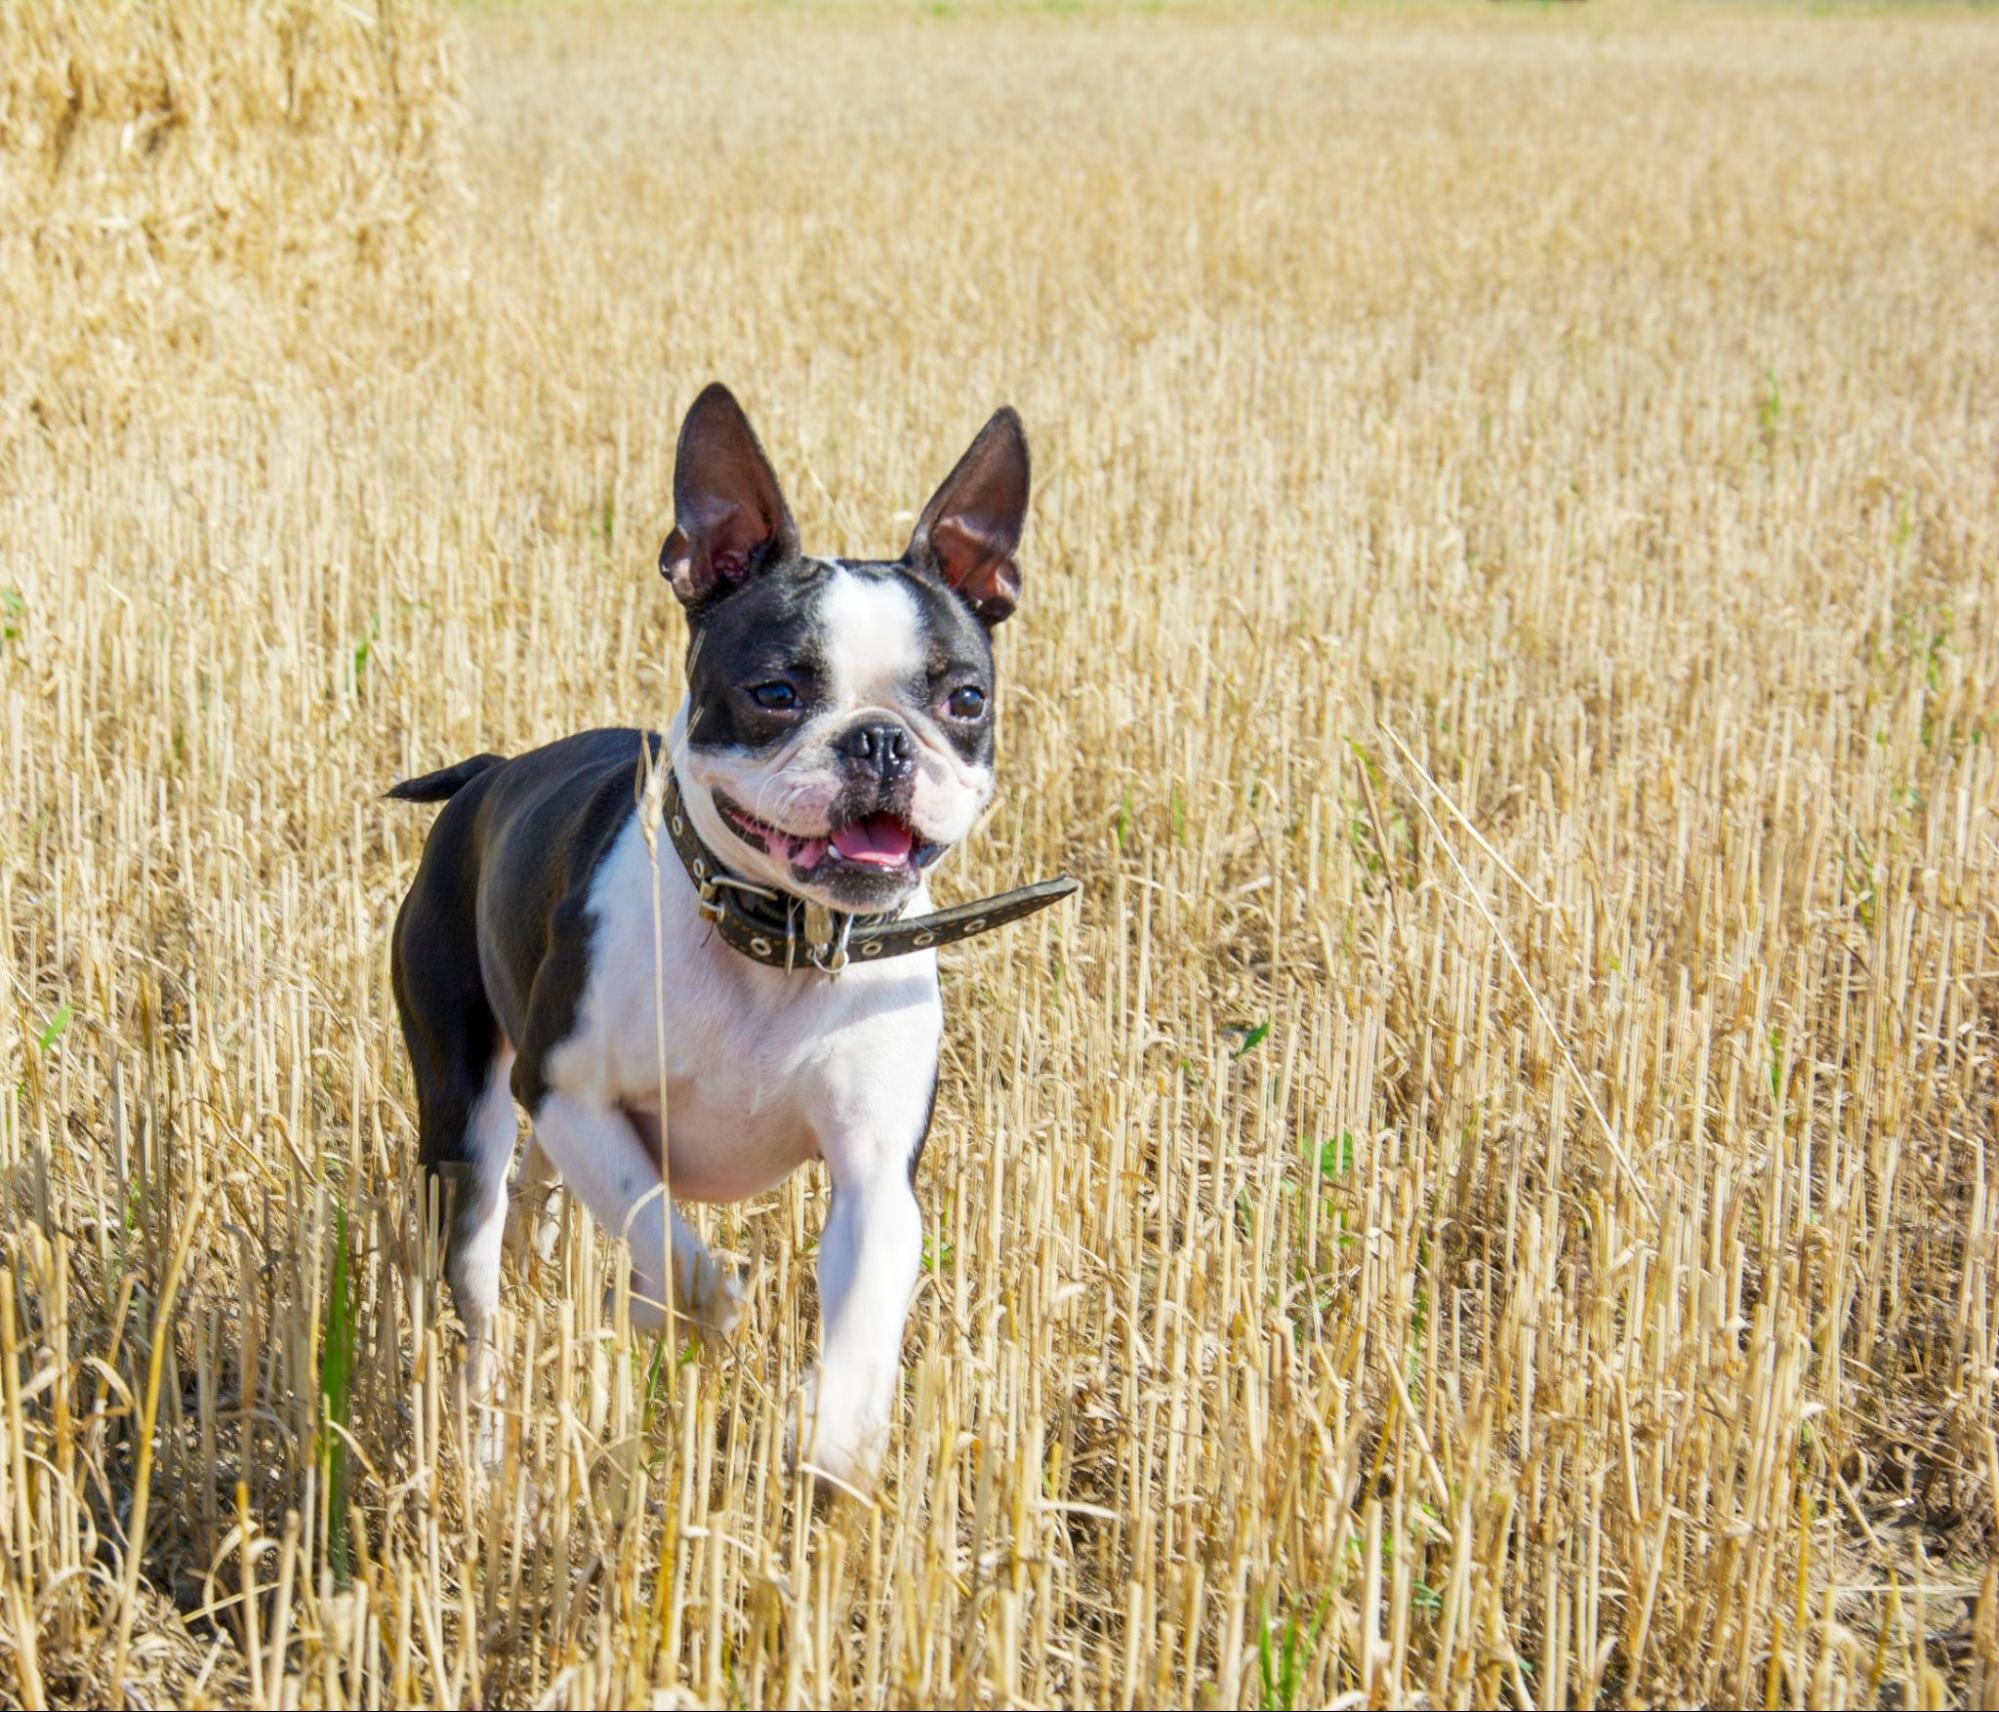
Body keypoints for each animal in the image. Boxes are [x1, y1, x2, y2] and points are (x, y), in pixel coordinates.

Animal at [393, 382, 1079, 1488]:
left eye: (965, 699)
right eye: (775, 693)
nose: (879, 741)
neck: (780, 945)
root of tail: (490, 774)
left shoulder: (876, 1173)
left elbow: (863, 1313)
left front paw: (833, 1439)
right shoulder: (570, 1088)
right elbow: (663, 1237)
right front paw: (703, 1304)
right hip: (464, 1109)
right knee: (478, 1281)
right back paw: (488, 1440)